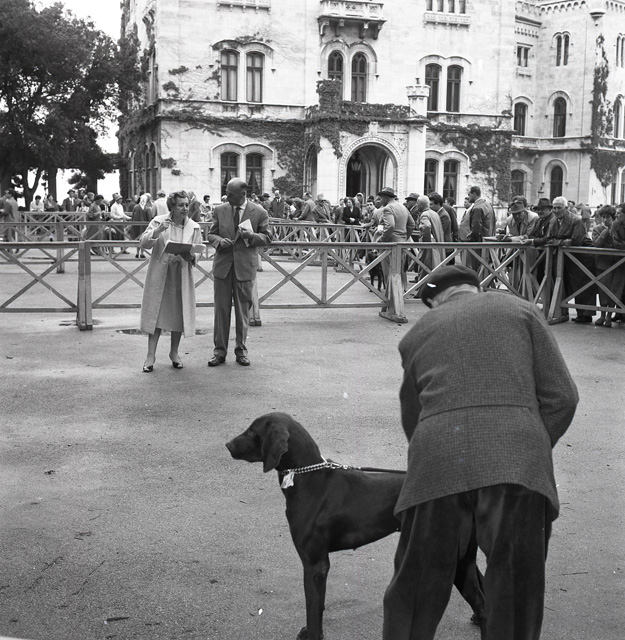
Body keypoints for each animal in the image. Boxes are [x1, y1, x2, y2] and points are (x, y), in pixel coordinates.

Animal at [226, 412, 486, 640]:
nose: (227, 444)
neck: (310, 479)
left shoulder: (315, 564)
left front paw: (313, 635)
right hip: (462, 558)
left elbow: (313, 608)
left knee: (481, 602)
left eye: (252, 431)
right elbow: (318, 606)